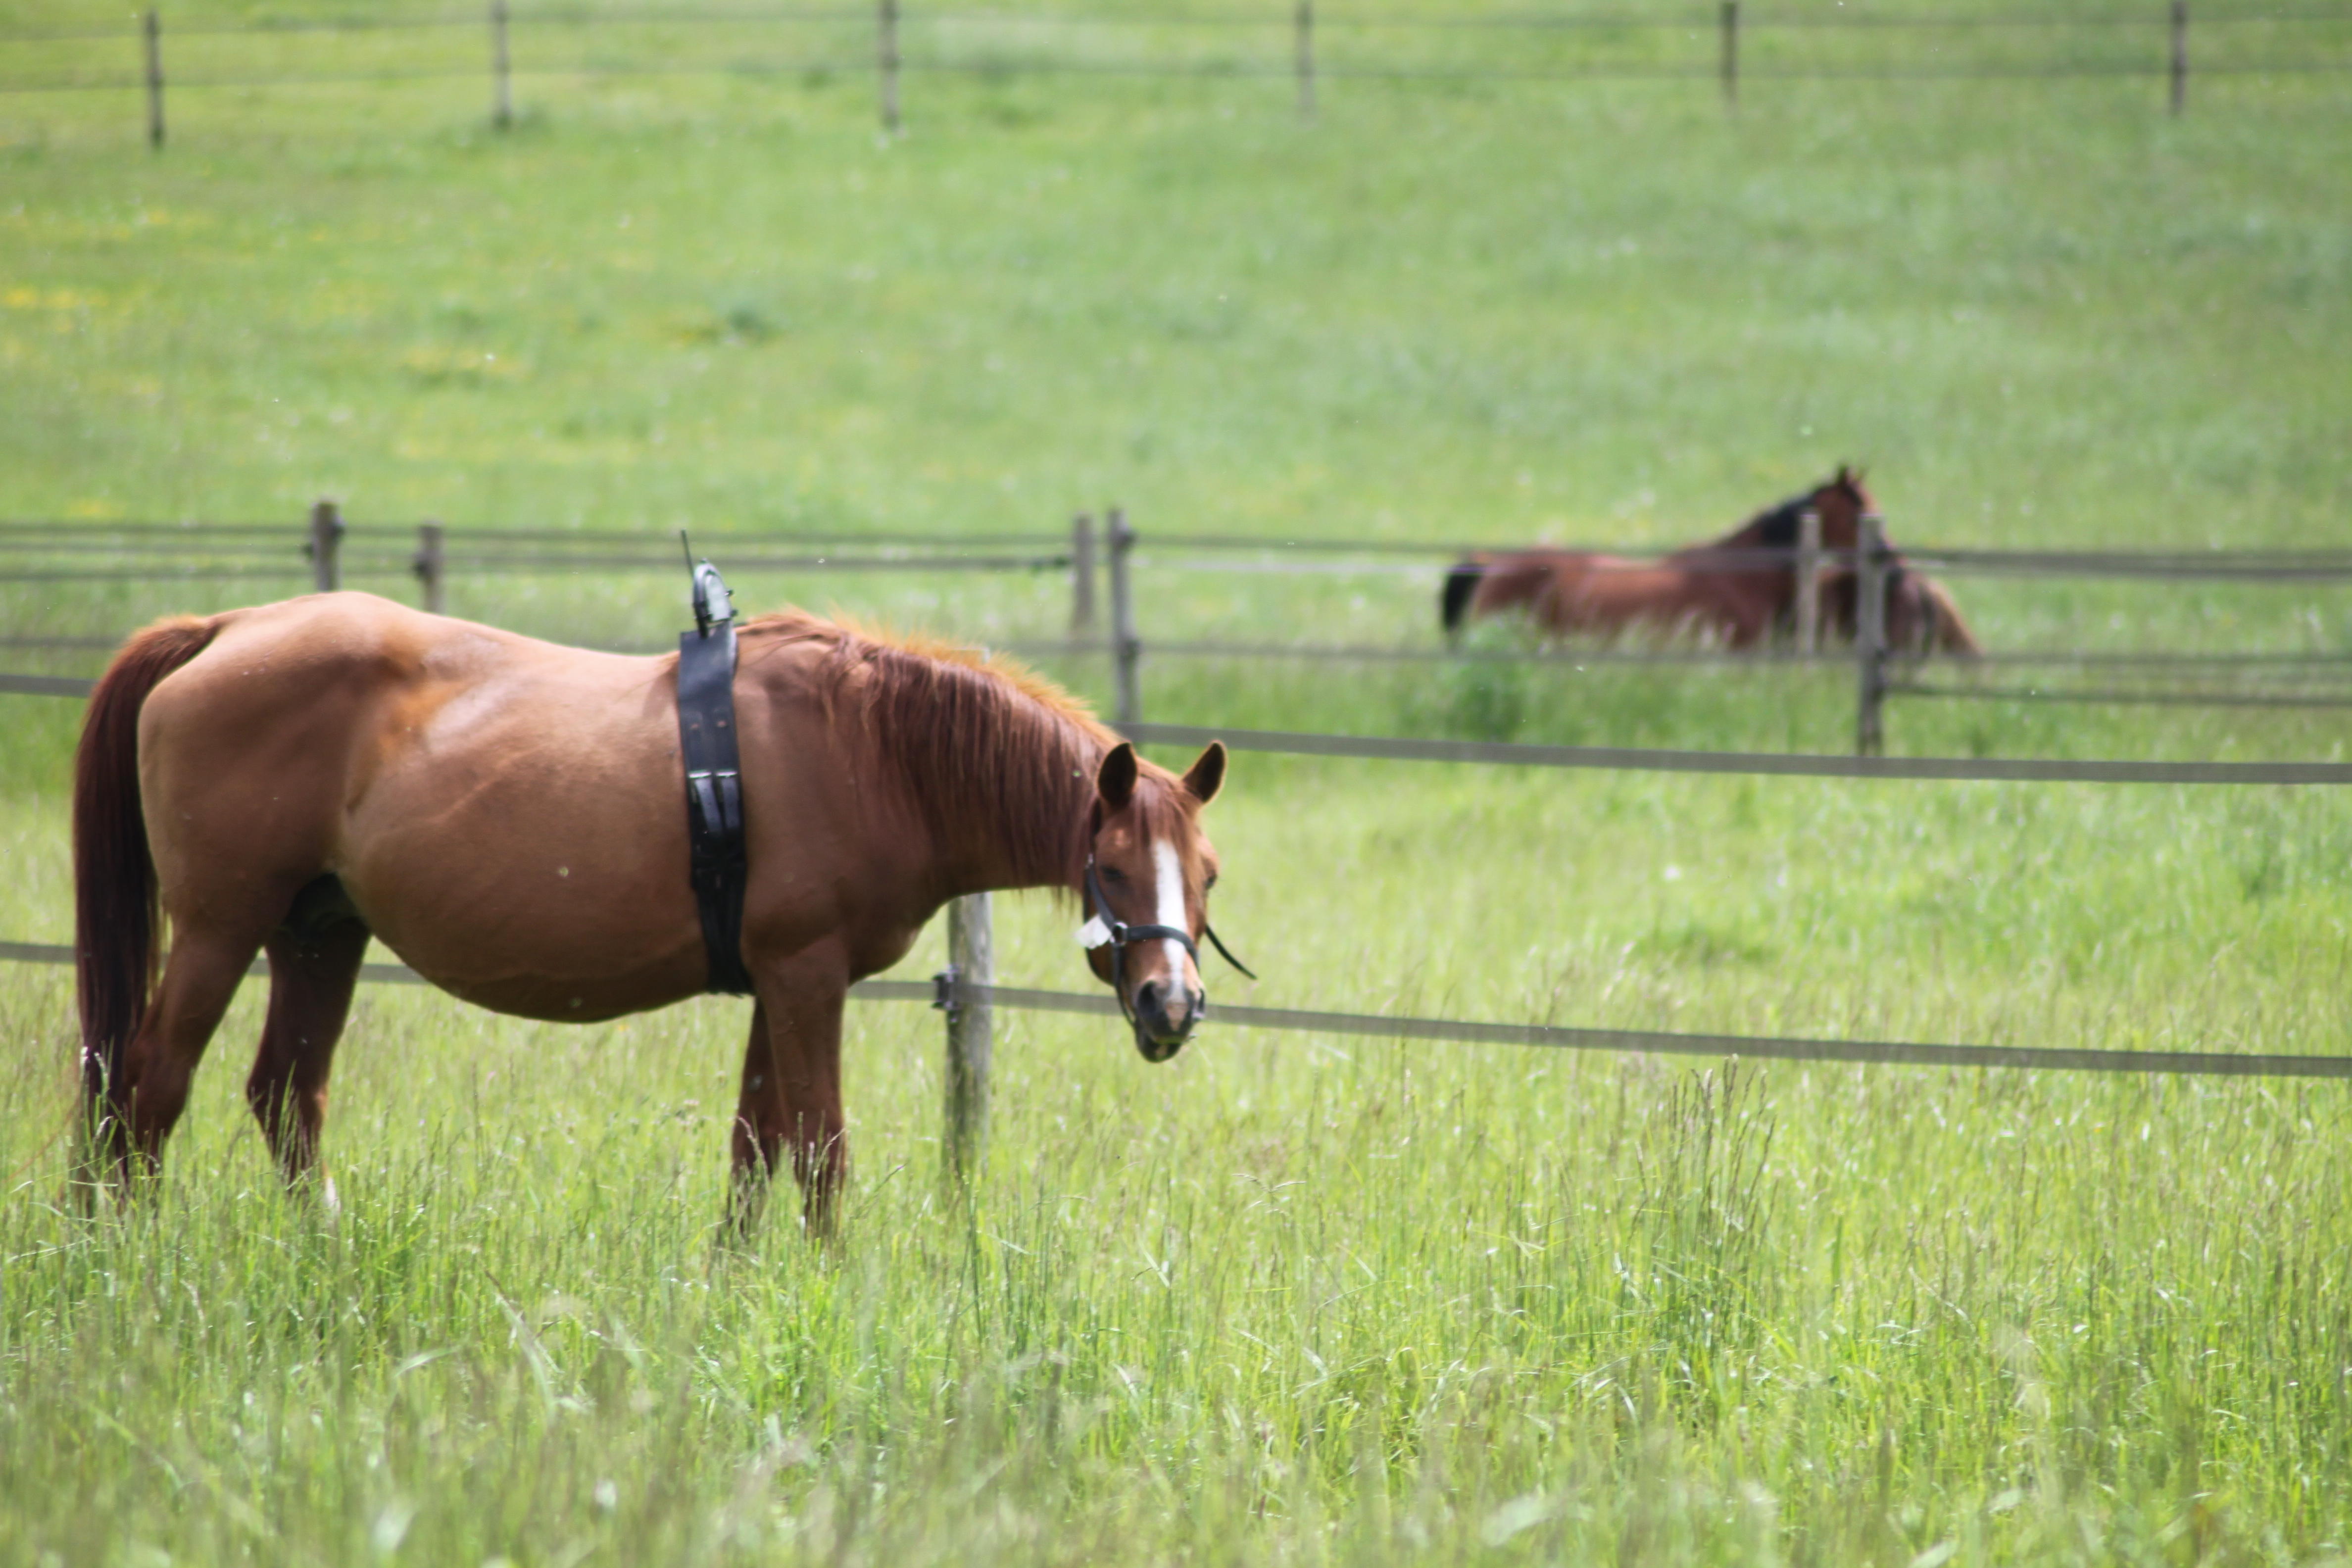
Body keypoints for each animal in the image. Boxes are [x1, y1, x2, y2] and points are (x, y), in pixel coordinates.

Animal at [73, 594, 1232, 1231]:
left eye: (1208, 874)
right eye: (1114, 869)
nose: (1173, 1006)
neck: (871, 749)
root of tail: (222, 631)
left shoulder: (776, 981)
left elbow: (755, 1151)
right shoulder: (806, 975)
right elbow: (821, 1152)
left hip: (321, 934)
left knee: (284, 1098)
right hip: (221, 929)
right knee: (147, 1087)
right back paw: (130, 1252)